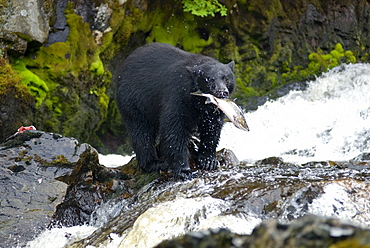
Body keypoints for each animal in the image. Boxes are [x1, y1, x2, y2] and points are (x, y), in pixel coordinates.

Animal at [115, 43, 236, 178]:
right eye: (209, 79)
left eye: (226, 78)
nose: (222, 92)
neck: (198, 101)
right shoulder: (178, 95)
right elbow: (173, 128)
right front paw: (184, 170)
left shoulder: (213, 109)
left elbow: (212, 128)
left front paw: (208, 160)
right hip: (133, 102)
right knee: (141, 132)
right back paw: (154, 163)